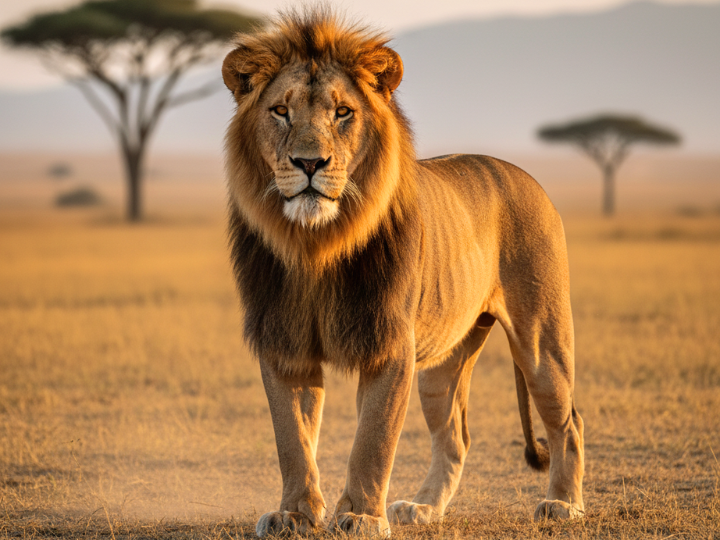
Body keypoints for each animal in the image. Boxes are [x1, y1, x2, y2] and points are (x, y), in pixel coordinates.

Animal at [222, 9, 585, 537]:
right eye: (281, 111)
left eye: (343, 112)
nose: (309, 162)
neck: (316, 245)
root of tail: (525, 175)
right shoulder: (284, 343)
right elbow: (293, 441)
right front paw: (295, 514)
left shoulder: (390, 344)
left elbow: (373, 440)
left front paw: (359, 516)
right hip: (443, 365)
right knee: (454, 436)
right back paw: (424, 508)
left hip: (541, 341)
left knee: (568, 420)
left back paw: (563, 504)